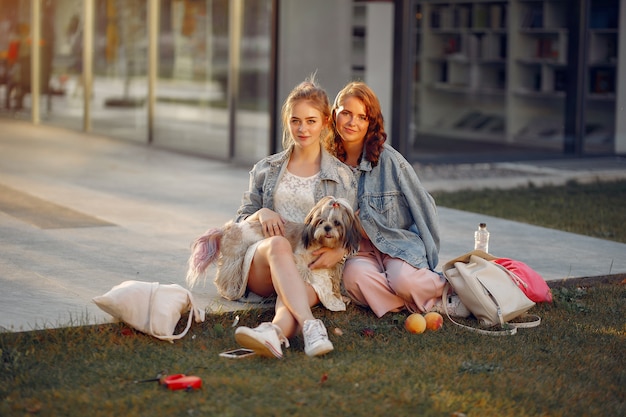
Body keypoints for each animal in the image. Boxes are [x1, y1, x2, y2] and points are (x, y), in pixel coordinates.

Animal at [185, 195, 360, 308]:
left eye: (337, 223)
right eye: (321, 221)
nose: (327, 228)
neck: (320, 242)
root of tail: (228, 228)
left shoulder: (334, 266)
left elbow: (334, 282)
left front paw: (339, 296)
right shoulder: (299, 257)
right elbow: (303, 269)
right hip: (235, 258)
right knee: (227, 275)